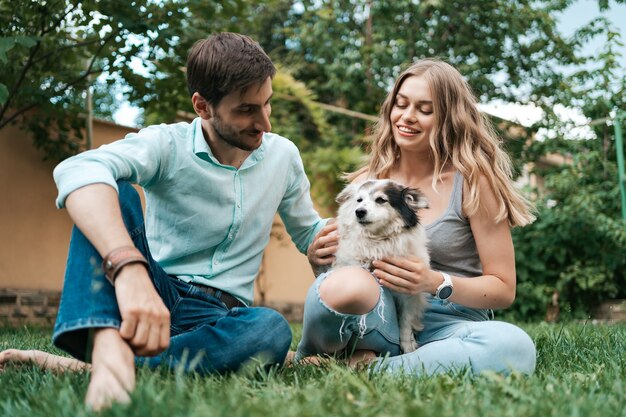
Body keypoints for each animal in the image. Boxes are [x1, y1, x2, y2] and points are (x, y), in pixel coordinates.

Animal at [332, 177, 428, 352]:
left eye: (381, 200)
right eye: (359, 200)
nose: (359, 211)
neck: (377, 242)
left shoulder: (409, 293)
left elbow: (406, 321)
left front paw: (408, 346)